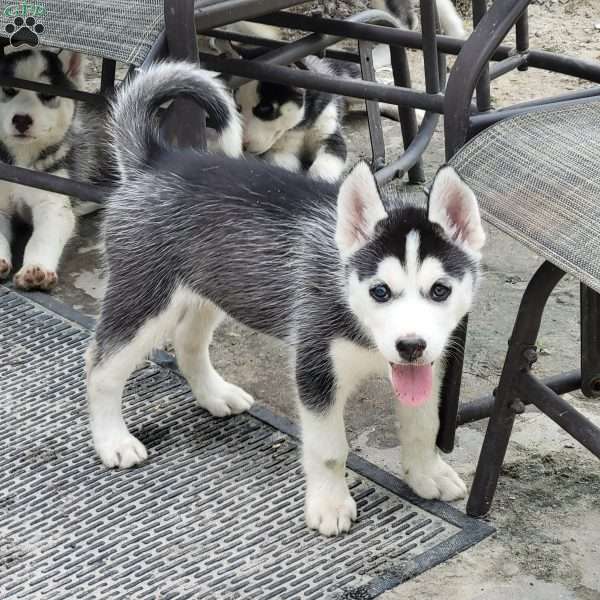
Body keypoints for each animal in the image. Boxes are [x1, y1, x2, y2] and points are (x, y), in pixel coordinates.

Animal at [0, 47, 109, 290]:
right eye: (9, 90)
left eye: (47, 95)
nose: (21, 120)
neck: (23, 159)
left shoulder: (53, 204)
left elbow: (41, 239)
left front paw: (36, 268)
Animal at [86, 62, 486, 536]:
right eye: (380, 291)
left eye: (440, 290)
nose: (410, 345)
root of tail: (156, 160)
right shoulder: (315, 370)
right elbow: (329, 449)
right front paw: (330, 504)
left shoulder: (429, 366)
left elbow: (424, 424)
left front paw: (427, 474)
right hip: (146, 297)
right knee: (101, 367)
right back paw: (112, 440)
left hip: (216, 287)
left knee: (187, 342)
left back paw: (214, 394)